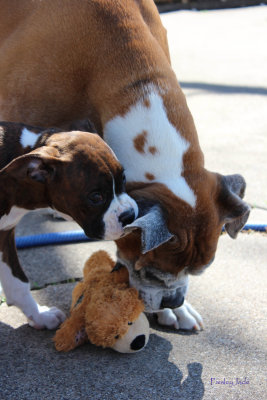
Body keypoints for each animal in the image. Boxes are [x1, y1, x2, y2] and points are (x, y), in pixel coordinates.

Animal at [0, 122, 138, 328]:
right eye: (95, 197)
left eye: (123, 178)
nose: (129, 215)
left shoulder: (5, 233)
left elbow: (16, 281)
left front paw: (39, 315)